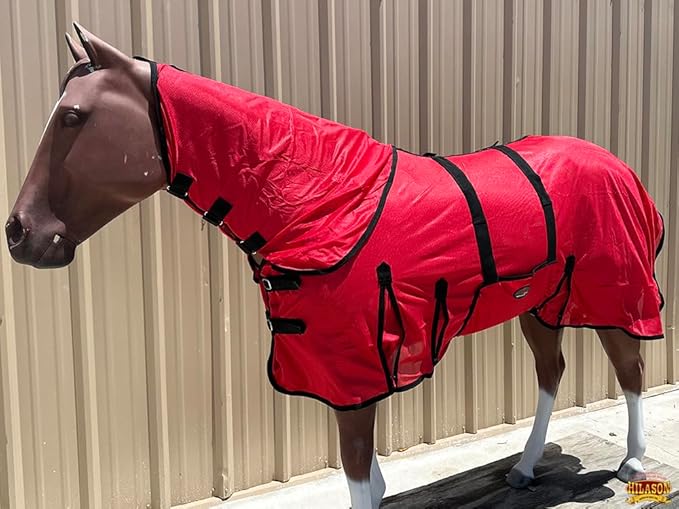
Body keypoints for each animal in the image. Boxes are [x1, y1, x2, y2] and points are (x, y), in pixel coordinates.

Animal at [6, 24, 664, 509]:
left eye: (72, 116)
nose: (20, 234)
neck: (321, 197)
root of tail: (620, 167)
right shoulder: (342, 372)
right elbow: (365, 475)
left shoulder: (356, 369)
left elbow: (357, 476)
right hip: (540, 305)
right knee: (551, 374)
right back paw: (526, 468)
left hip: (616, 295)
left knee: (631, 368)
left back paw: (632, 461)